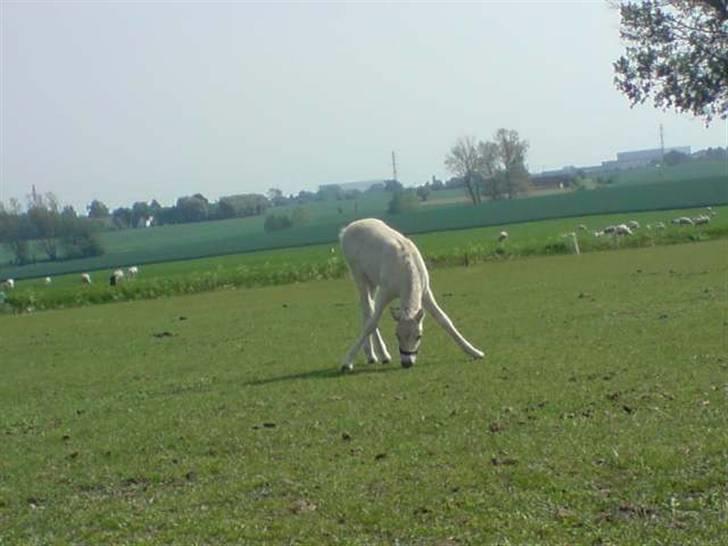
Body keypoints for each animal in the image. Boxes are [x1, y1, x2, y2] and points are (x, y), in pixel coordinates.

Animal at [340, 219, 484, 372]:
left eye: (419, 336)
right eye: (397, 335)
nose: (407, 363)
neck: (406, 271)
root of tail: (346, 230)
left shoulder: (425, 291)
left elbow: (444, 319)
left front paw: (475, 352)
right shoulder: (385, 291)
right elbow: (372, 322)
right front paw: (347, 362)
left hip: (372, 281)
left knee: (365, 308)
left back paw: (371, 356)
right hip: (358, 274)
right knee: (368, 310)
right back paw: (382, 355)